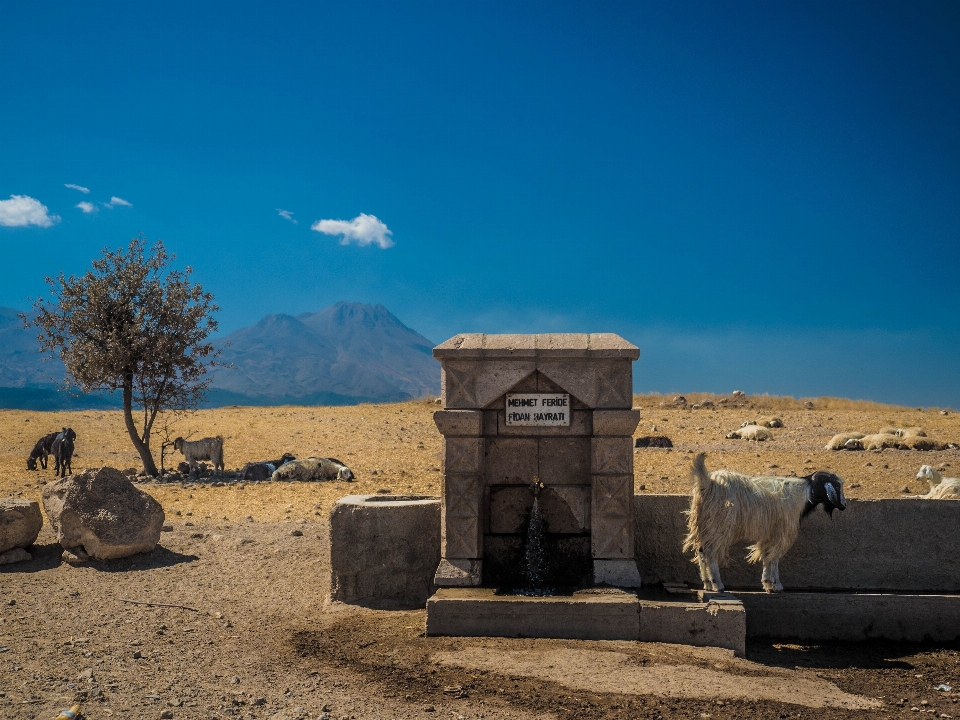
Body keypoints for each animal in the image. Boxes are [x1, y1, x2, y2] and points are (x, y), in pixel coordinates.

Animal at [684, 452, 848, 592]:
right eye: (837, 485)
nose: (844, 505)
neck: (804, 494)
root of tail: (706, 481)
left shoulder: (770, 534)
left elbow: (767, 556)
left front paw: (768, 583)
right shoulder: (781, 532)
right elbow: (774, 557)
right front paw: (776, 584)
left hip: (704, 523)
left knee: (701, 551)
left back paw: (707, 584)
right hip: (718, 525)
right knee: (710, 552)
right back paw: (717, 584)